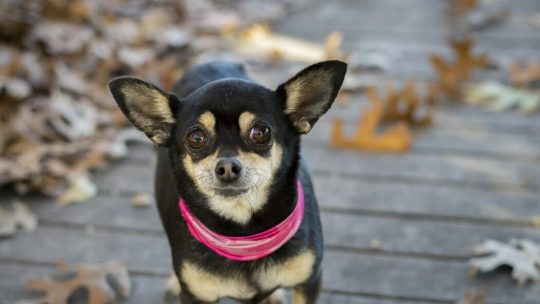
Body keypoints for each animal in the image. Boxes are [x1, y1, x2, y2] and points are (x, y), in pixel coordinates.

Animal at [108, 60, 346, 302]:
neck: (244, 237)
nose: (227, 167)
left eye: (261, 132)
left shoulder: (309, 283)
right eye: (196, 138)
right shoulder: (195, 296)